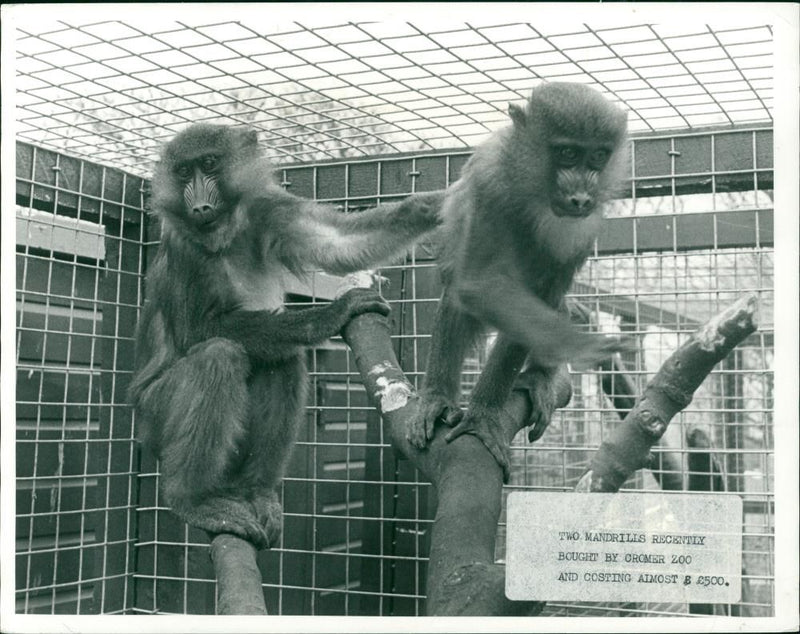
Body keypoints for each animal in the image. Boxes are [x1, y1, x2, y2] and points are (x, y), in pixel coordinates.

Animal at [130, 124, 444, 548]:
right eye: (183, 172)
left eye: (209, 164)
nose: (199, 206)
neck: (227, 235)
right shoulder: (184, 246)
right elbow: (202, 330)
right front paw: (330, 314)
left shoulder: (268, 210)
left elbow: (338, 246)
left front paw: (436, 205)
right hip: (153, 416)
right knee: (219, 356)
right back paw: (191, 499)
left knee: (283, 362)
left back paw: (256, 490)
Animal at [410, 82, 636, 478]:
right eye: (567, 153)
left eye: (597, 157)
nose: (580, 197)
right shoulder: (490, 180)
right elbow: (479, 282)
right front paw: (580, 344)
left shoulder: (586, 223)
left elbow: (543, 293)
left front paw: (483, 416)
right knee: (457, 292)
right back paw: (437, 397)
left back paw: (540, 376)